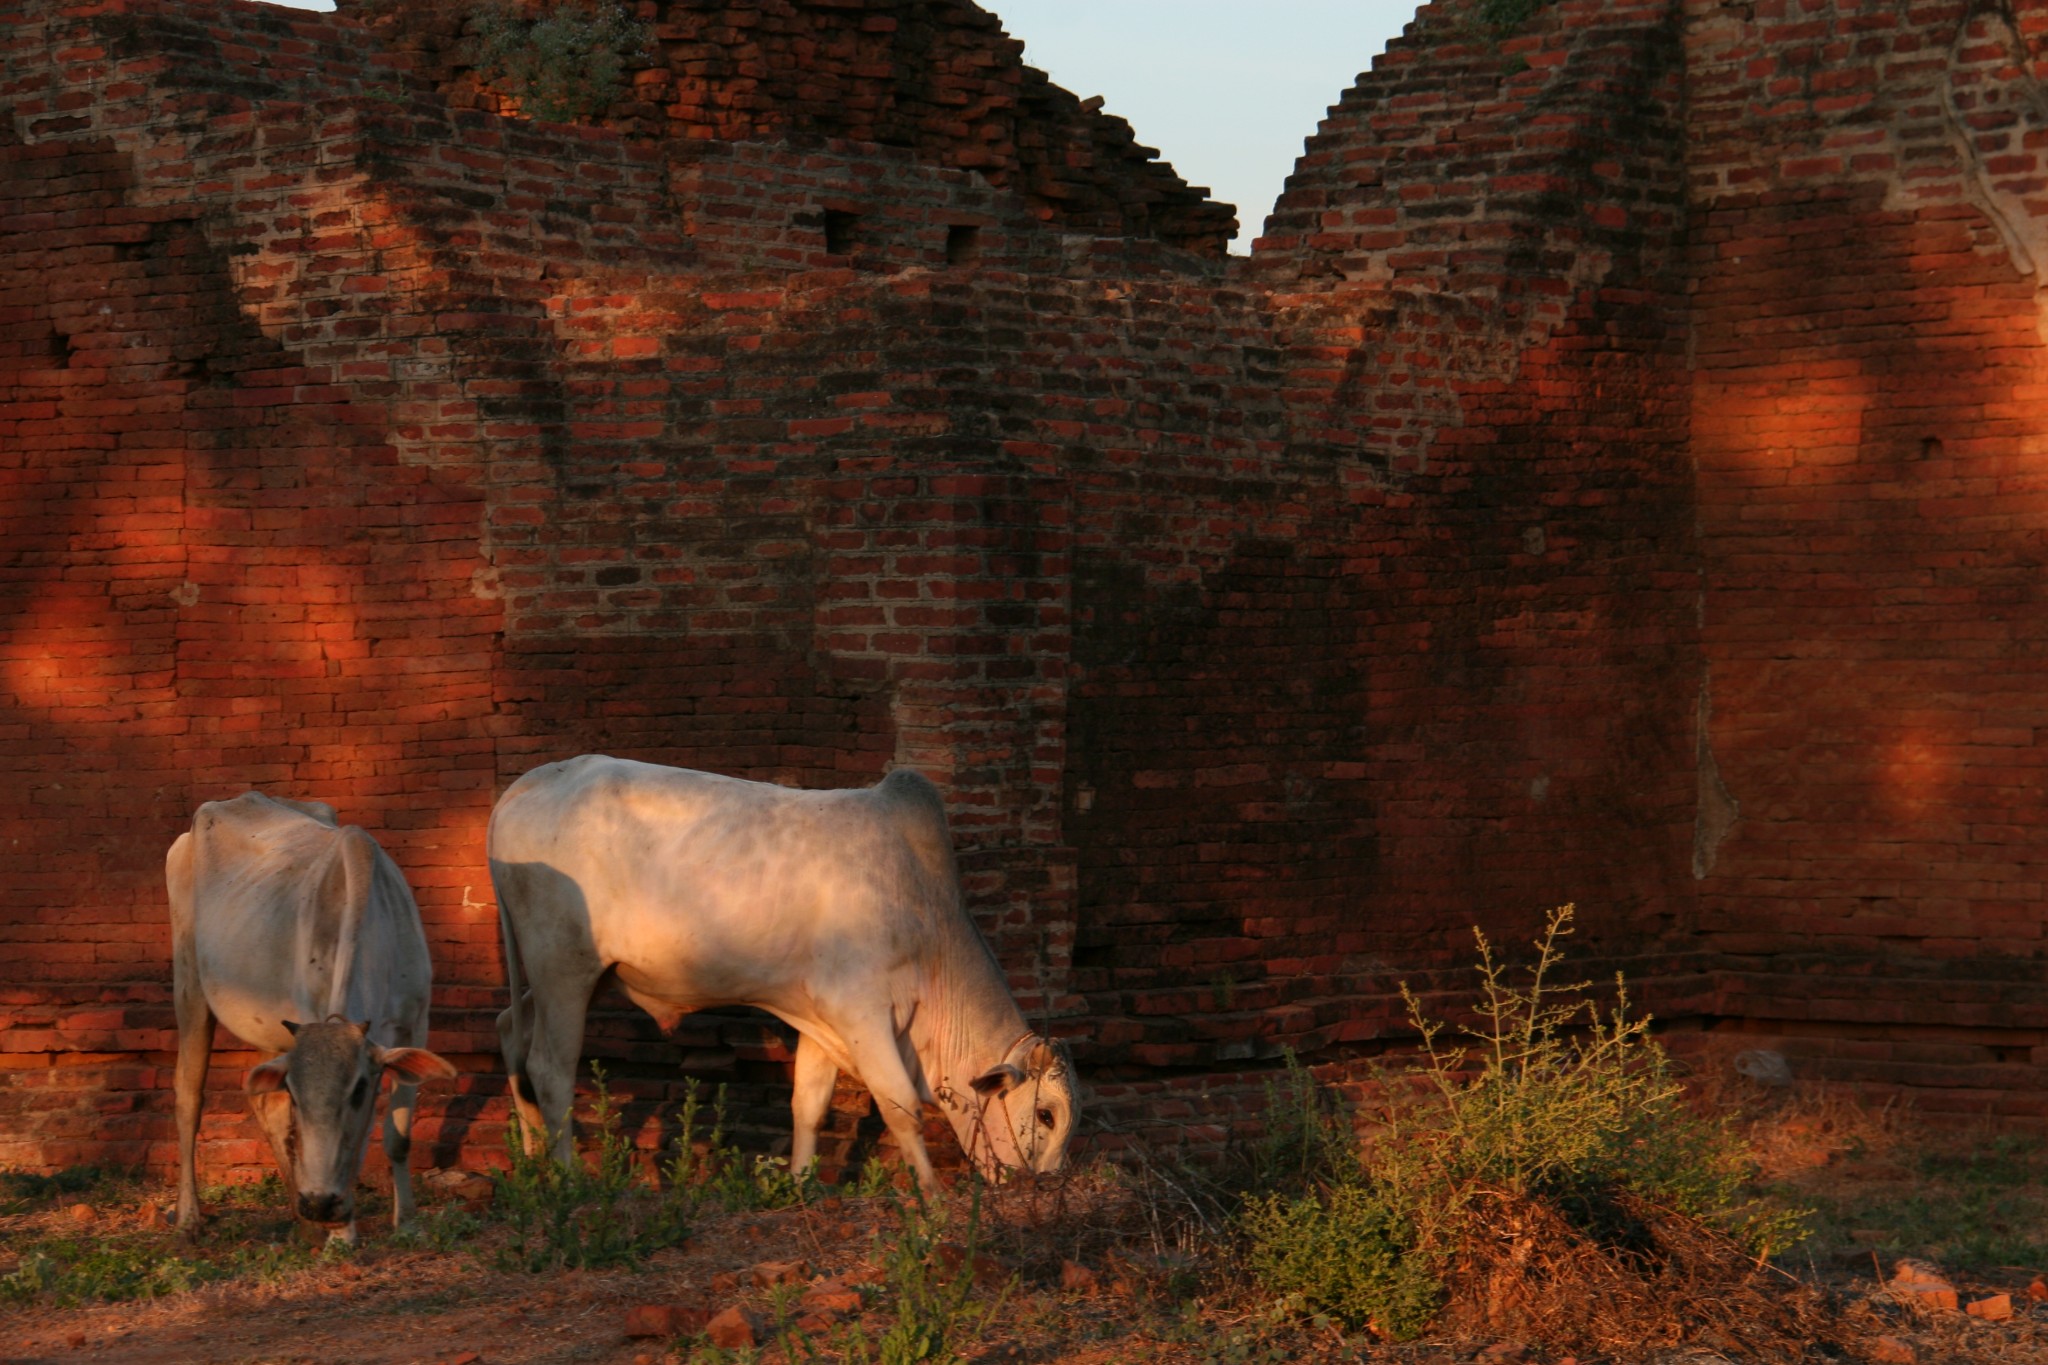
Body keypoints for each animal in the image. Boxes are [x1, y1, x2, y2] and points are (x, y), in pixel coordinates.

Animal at [166, 789, 456, 1252]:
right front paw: (341, 1234)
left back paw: (301, 1222)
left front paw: (407, 1222)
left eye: (359, 1090)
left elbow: (396, 1137)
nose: (320, 1204)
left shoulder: (416, 1021)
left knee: (264, 1104)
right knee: (189, 1095)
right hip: (189, 980)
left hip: (268, 1024)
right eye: (301, 1096)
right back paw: (189, 1218)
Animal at [489, 757, 1081, 1195]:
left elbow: (809, 1105)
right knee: (549, 1068)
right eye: (1046, 1115)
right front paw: (933, 1200)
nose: (1047, 1189)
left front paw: (799, 1185)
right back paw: (567, 1179)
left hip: (563, 978)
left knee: (511, 1035)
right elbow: (900, 1107)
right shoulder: (863, 1013)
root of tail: (530, 782)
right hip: (564, 969)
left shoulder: (822, 1017)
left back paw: (533, 1162)